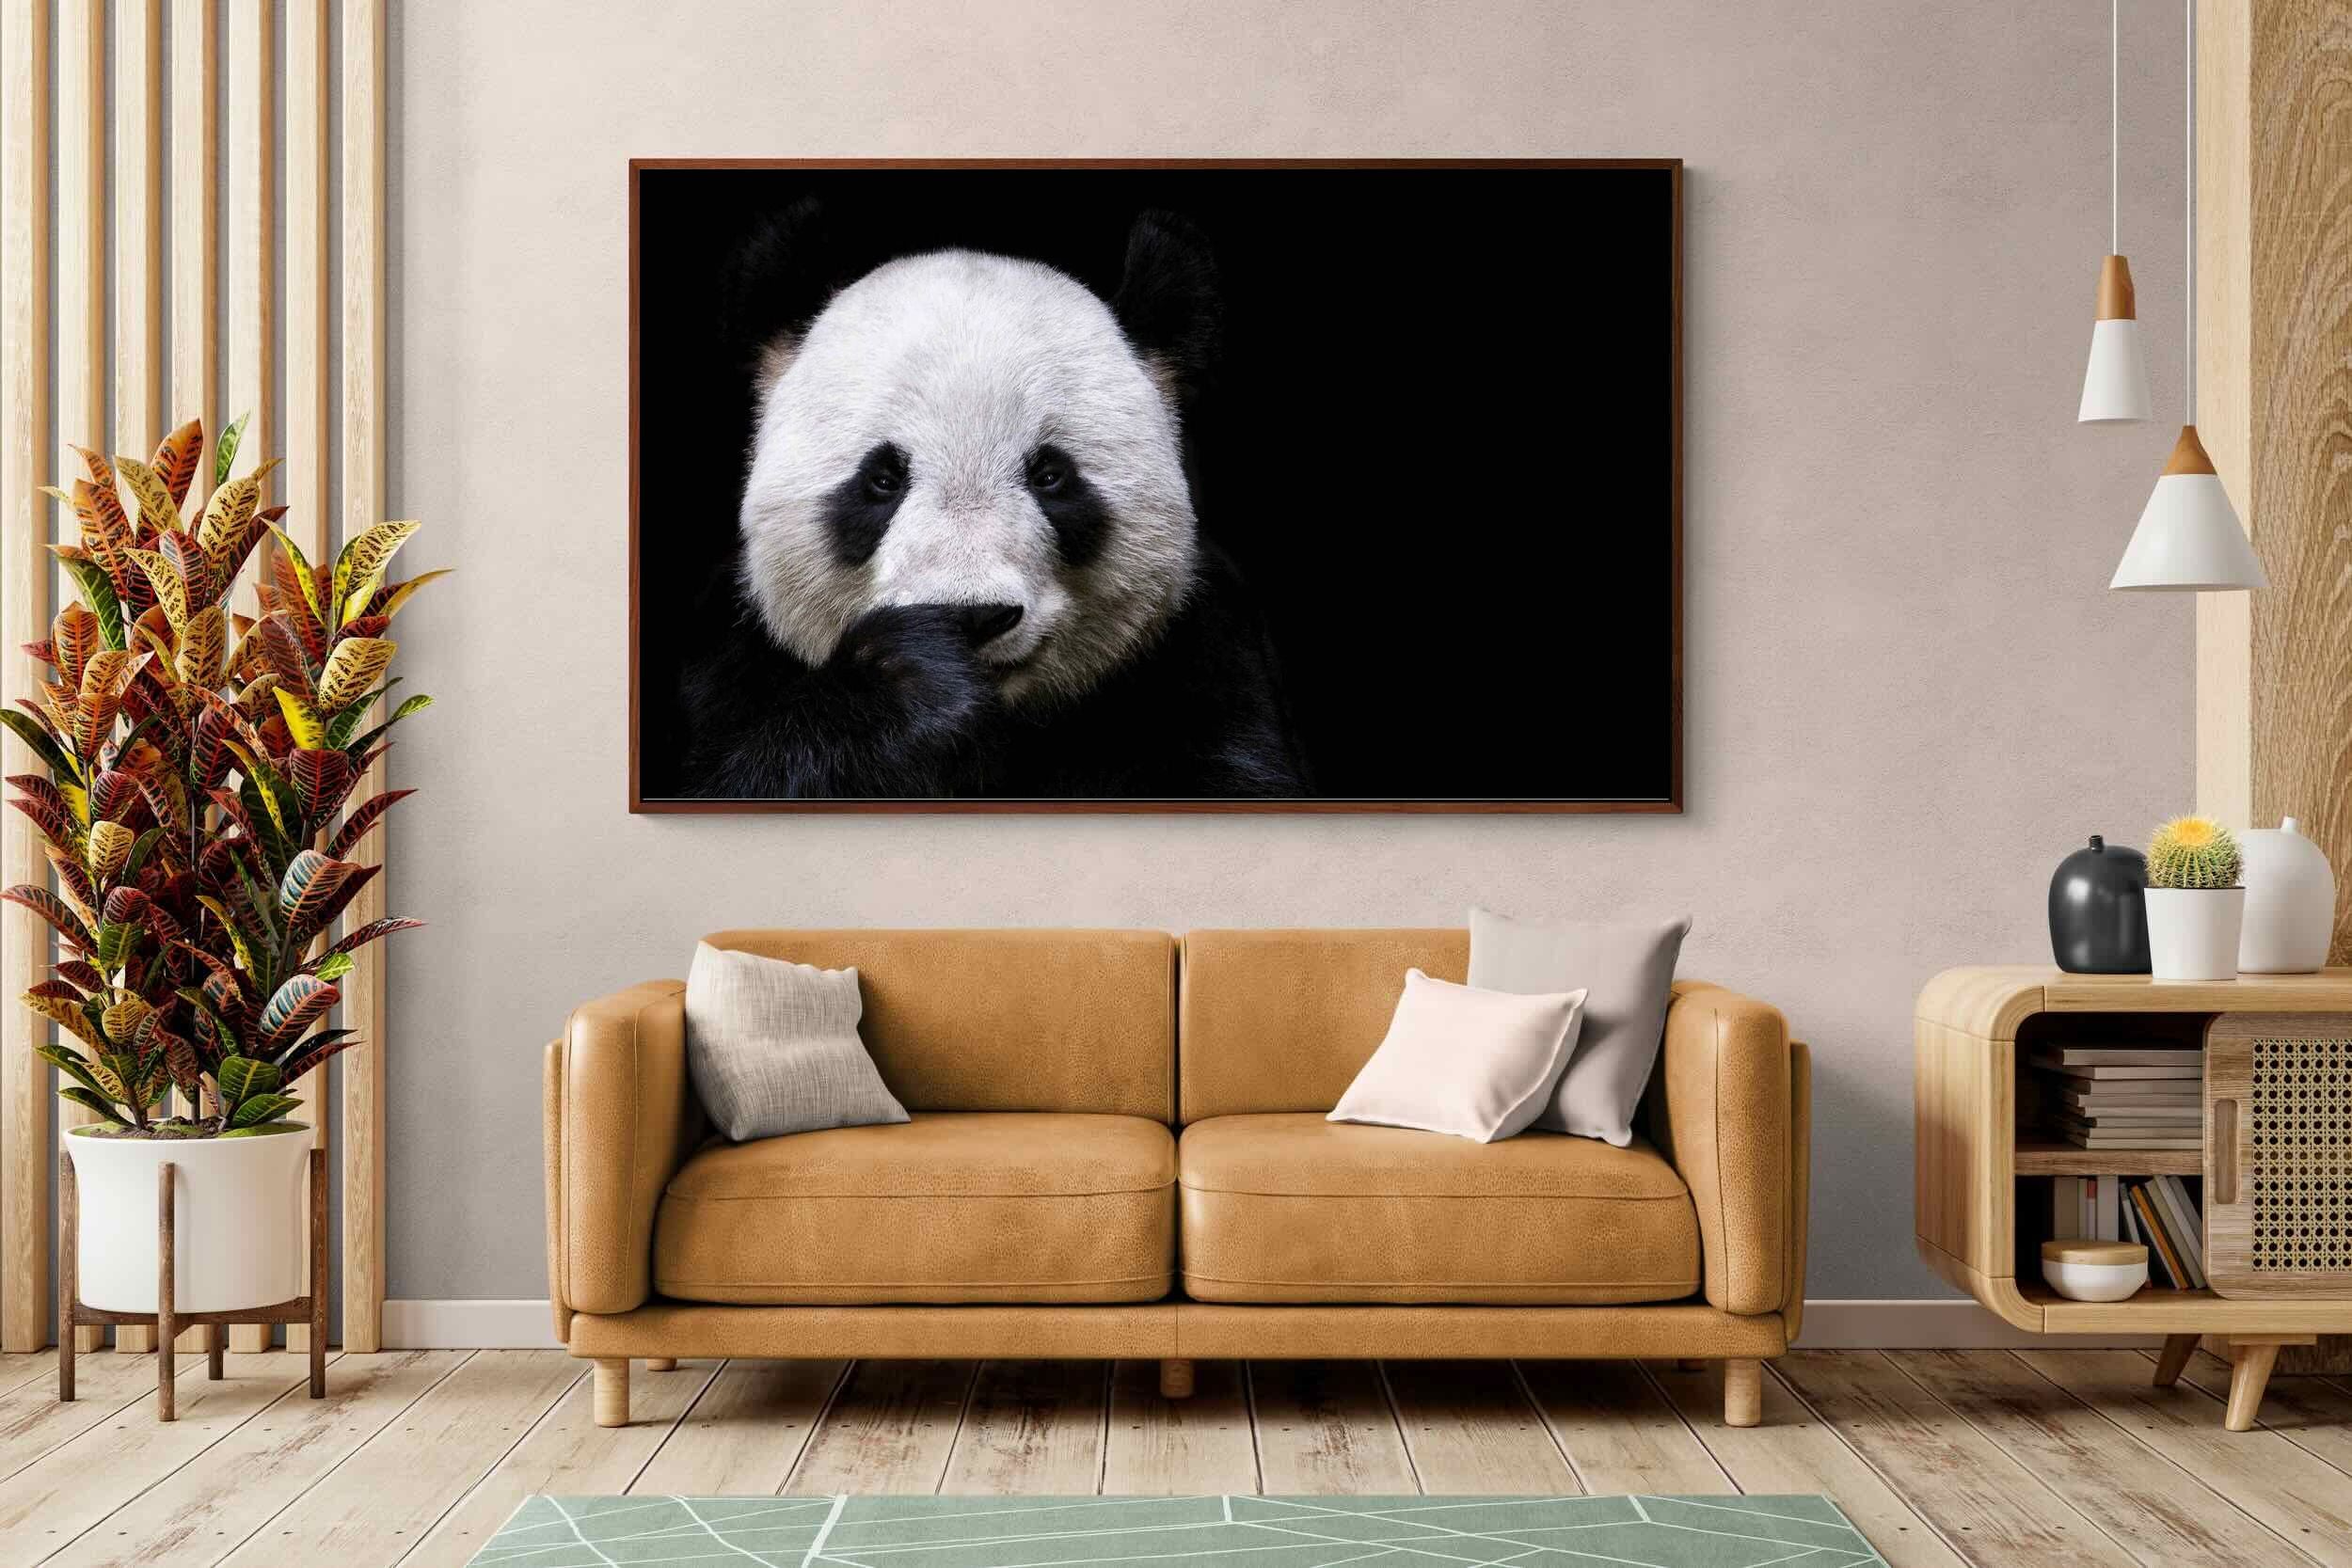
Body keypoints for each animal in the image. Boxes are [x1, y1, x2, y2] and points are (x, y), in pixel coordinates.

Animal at [676, 204, 1309, 800]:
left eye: (1050, 475)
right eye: (882, 480)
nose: (973, 616)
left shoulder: (1202, 663)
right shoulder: (730, 664)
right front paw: (911, 679)